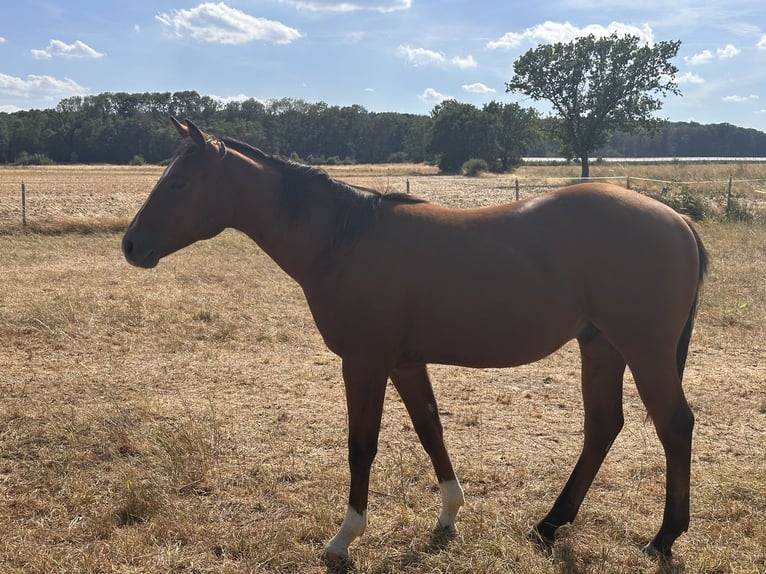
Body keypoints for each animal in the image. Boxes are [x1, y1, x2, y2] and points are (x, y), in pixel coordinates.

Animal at [122, 118, 708, 562]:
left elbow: (362, 445)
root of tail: (677, 218)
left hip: (645, 352)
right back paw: (549, 524)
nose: (130, 245)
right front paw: (449, 514)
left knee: (674, 426)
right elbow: (431, 431)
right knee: (603, 426)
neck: (343, 239)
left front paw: (344, 538)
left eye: (179, 184)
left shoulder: (364, 362)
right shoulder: (404, 363)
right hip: (601, 346)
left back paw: (663, 538)